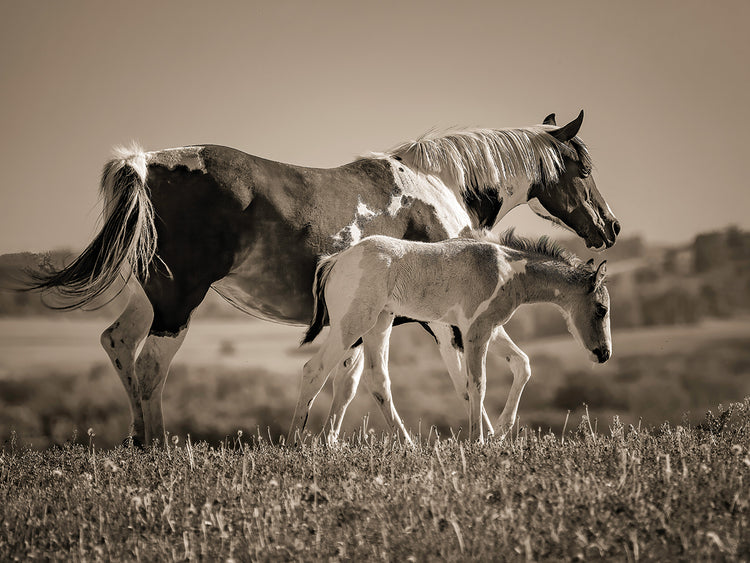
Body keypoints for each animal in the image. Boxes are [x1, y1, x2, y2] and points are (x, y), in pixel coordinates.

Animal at [293, 229, 611, 443]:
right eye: (602, 309)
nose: (604, 353)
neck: (506, 269)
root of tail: (335, 260)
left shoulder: (488, 328)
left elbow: (522, 365)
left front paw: (499, 433)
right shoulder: (476, 330)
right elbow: (477, 384)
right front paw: (478, 441)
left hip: (378, 324)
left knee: (377, 380)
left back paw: (409, 445)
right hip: (351, 325)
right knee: (313, 369)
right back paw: (295, 444)